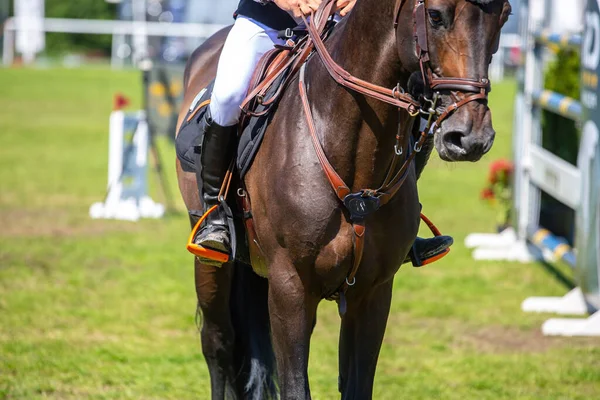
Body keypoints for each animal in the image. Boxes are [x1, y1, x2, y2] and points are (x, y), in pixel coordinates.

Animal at [176, 0, 512, 396]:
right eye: (435, 15)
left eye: (504, 16)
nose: (471, 137)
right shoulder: (290, 289)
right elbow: (294, 387)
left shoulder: (372, 293)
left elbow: (357, 385)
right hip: (212, 264)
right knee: (219, 346)